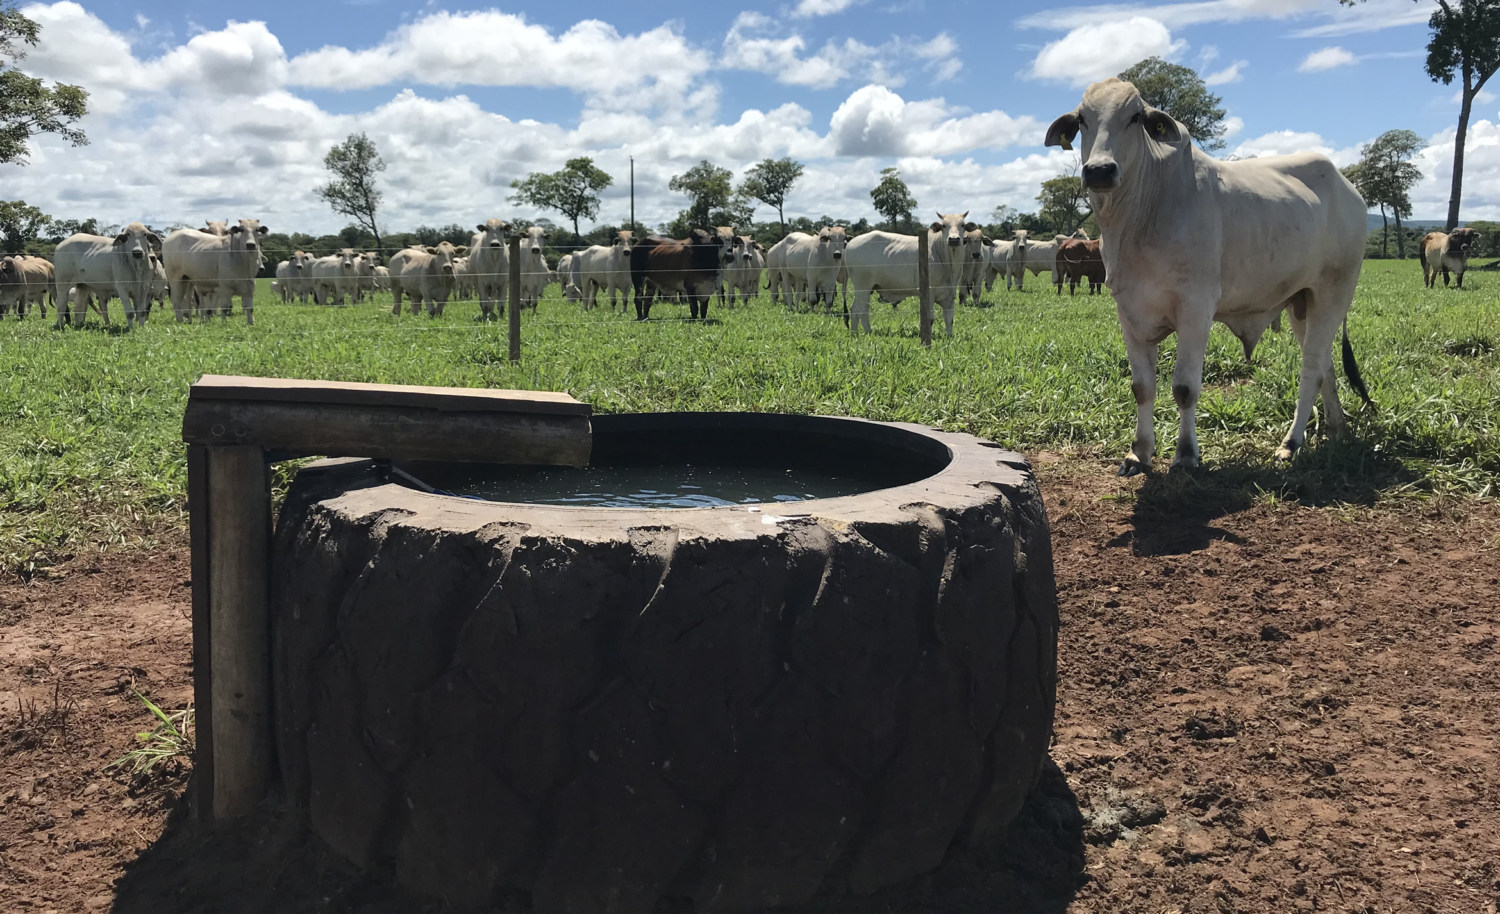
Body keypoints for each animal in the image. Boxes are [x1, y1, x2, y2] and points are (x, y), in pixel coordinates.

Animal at [840, 211, 978, 336]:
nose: (954, 239)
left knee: (855, 309)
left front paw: (949, 337)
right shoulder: (929, 293)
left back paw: (854, 332)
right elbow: (930, 319)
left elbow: (949, 320)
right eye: (944, 225)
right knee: (861, 309)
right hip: (862, 287)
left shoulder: (950, 294)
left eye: (962, 225)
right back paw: (867, 332)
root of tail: (851, 242)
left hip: (867, 289)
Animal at [1044, 77, 1374, 474]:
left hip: (1334, 292)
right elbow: (1142, 387)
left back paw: (1291, 443)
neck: (1140, 217)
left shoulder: (1196, 308)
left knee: (1311, 367)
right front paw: (1139, 452)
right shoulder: (1129, 311)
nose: (1099, 170)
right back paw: (1336, 429)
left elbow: (1185, 388)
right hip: (1302, 302)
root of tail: (1350, 190)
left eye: (1135, 116)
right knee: (1326, 364)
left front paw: (1186, 455)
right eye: (1081, 119)